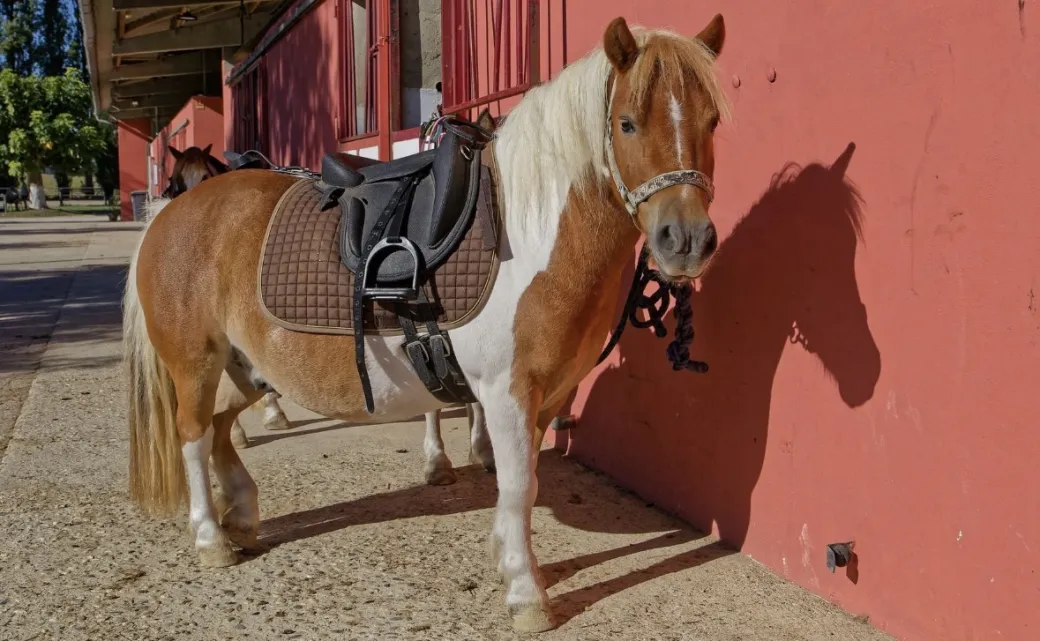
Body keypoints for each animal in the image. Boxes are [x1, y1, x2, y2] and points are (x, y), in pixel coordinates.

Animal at [123, 15, 730, 632]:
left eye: (713, 121)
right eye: (626, 124)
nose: (685, 241)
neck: (529, 233)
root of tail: (169, 215)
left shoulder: (549, 395)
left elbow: (521, 480)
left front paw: (504, 557)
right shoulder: (508, 391)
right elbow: (519, 484)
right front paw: (526, 593)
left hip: (244, 368)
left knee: (220, 426)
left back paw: (241, 514)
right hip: (195, 364)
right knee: (194, 435)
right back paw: (210, 538)